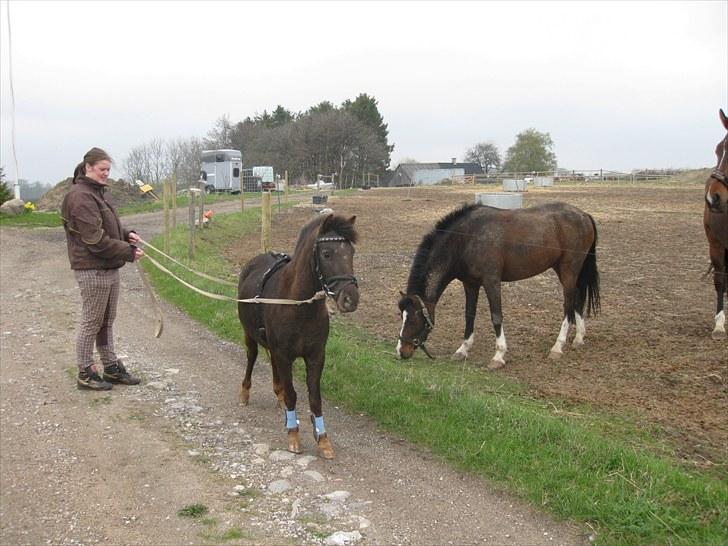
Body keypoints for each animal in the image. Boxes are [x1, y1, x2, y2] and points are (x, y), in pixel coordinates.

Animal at [237, 212, 360, 454]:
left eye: (351, 253)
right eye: (327, 253)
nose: (350, 299)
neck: (299, 306)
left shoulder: (316, 357)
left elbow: (315, 397)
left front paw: (322, 439)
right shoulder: (285, 355)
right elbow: (293, 394)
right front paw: (293, 434)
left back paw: (279, 395)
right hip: (250, 335)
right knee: (251, 357)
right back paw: (246, 393)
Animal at [398, 202, 596, 368]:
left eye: (414, 319)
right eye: (402, 316)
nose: (400, 351)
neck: (468, 238)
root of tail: (584, 215)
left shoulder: (491, 281)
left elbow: (496, 316)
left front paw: (498, 356)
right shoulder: (470, 284)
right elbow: (469, 315)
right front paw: (463, 350)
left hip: (569, 270)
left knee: (568, 305)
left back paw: (558, 346)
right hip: (564, 270)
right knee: (577, 298)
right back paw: (579, 338)